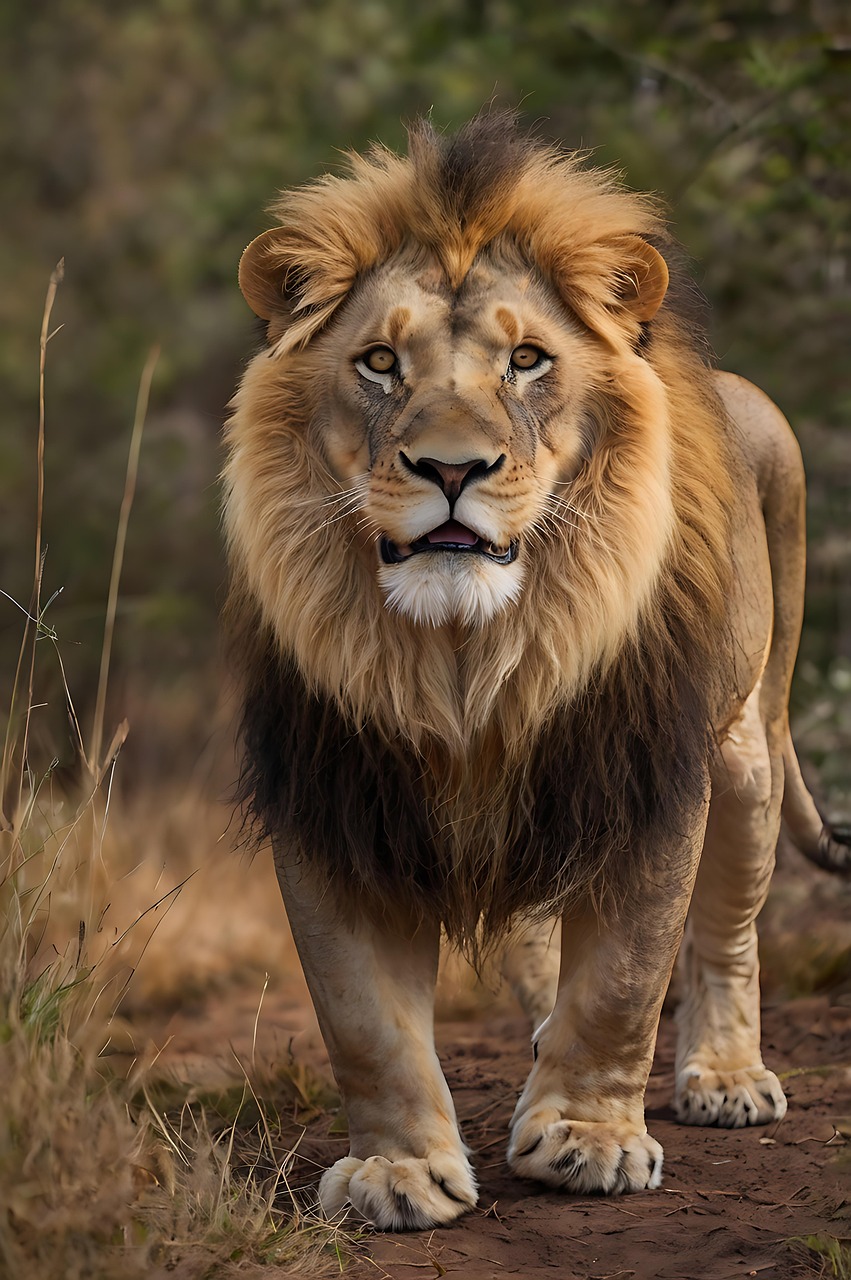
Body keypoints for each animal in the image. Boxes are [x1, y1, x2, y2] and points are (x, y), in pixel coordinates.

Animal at [223, 112, 849, 1231]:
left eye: (525, 360)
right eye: (378, 362)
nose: (451, 469)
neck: (468, 656)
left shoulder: (647, 773)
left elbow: (625, 978)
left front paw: (588, 1141)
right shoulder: (331, 788)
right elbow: (362, 1019)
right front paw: (397, 1171)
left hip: (744, 746)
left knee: (728, 931)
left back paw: (726, 1077)